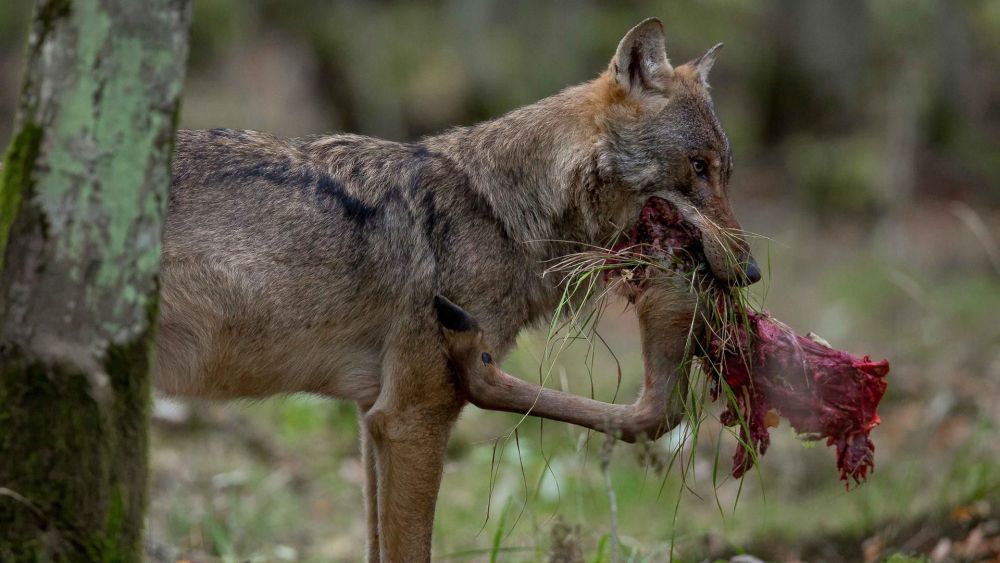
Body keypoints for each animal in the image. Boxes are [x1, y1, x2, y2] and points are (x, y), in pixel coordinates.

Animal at [156, 18, 752, 563]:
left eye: (725, 172)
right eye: (697, 167)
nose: (751, 273)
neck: (501, 216)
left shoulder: (373, 416)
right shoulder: (410, 419)